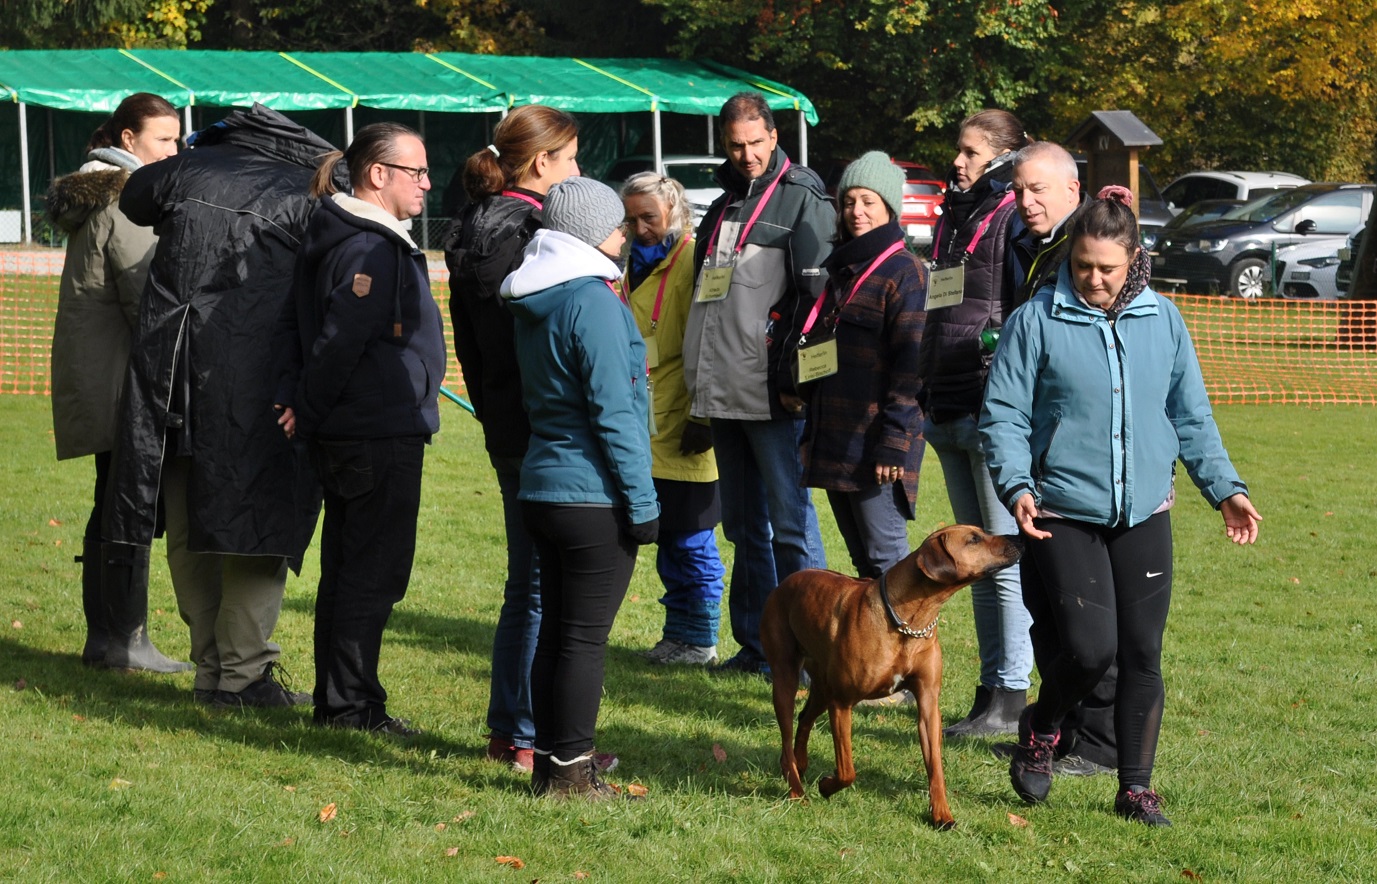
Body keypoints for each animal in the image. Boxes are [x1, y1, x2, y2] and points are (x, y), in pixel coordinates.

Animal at [765, 523, 1024, 826]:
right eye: (974, 539)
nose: (1020, 538)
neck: (910, 620)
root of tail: (786, 582)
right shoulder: (842, 703)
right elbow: (847, 770)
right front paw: (828, 785)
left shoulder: (928, 704)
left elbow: (936, 766)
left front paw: (941, 813)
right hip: (787, 679)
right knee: (787, 735)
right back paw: (796, 788)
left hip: (822, 686)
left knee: (805, 718)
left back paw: (801, 762)